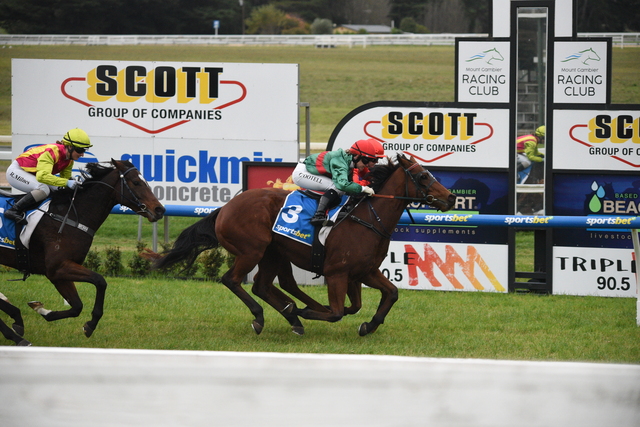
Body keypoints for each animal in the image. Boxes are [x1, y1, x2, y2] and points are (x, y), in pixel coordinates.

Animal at [0, 159, 165, 344]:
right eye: (136, 182)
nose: (160, 210)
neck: (70, 215)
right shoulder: (57, 268)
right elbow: (100, 281)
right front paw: (91, 324)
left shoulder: (60, 272)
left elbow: (77, 306)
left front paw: (43, 310)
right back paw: (16, 334)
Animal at [151, 154, 456, 336]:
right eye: (424, 176)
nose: (451, 198)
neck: (369, 218)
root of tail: (225, 208)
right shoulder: (337, 272)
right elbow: (337, 312)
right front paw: (307, 310)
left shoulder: (363, 271)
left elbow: (385, 295)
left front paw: (368, 326)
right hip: (252, 250)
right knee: (233, 280)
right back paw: (267, 316)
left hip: (273, 253)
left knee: (264, 285)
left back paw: (292, 316)